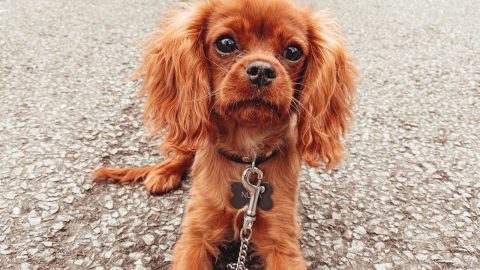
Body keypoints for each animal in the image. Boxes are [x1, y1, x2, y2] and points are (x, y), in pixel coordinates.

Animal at [94, 0, 356, 268]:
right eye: (226, 43)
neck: (247, 156)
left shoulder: (282, 240)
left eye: (293, 51)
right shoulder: (196, 234)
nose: (261, 70)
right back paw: (164, 173)